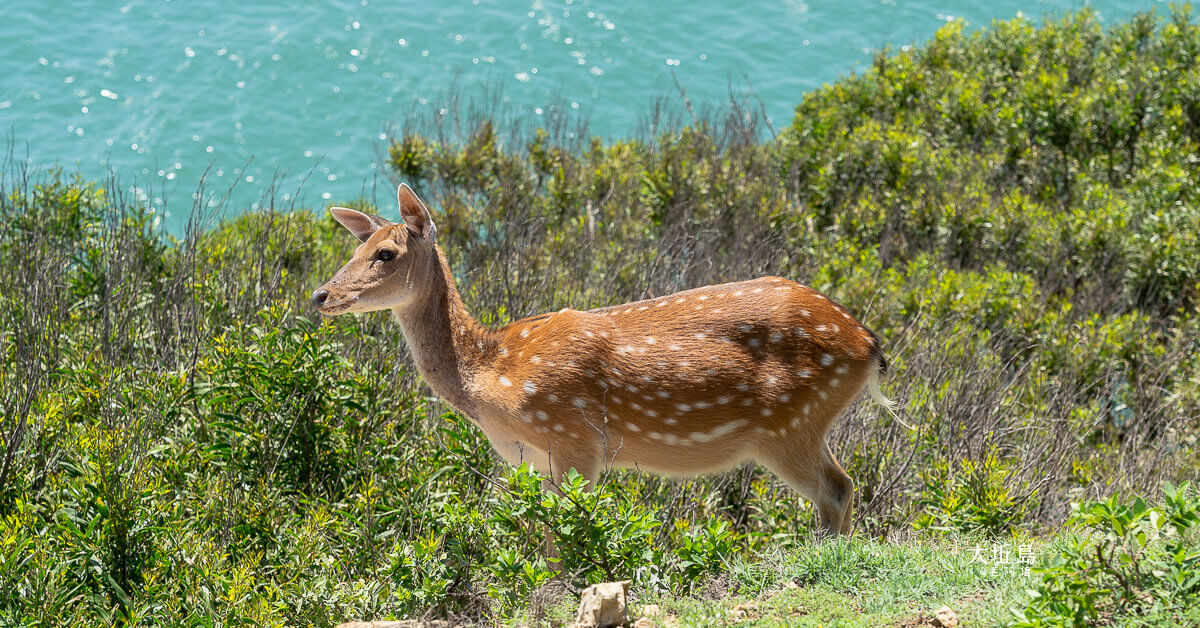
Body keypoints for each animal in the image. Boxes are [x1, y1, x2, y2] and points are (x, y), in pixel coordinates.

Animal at [314, 181, 897, 535]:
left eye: (385, 254)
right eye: (354, 248)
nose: (321, 294)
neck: (491, 375)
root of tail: (870, 347)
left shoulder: (575, 438)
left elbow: (562, 536)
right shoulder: (532, 459)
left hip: (789, 423)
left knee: (835, 489)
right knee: (843, 486)